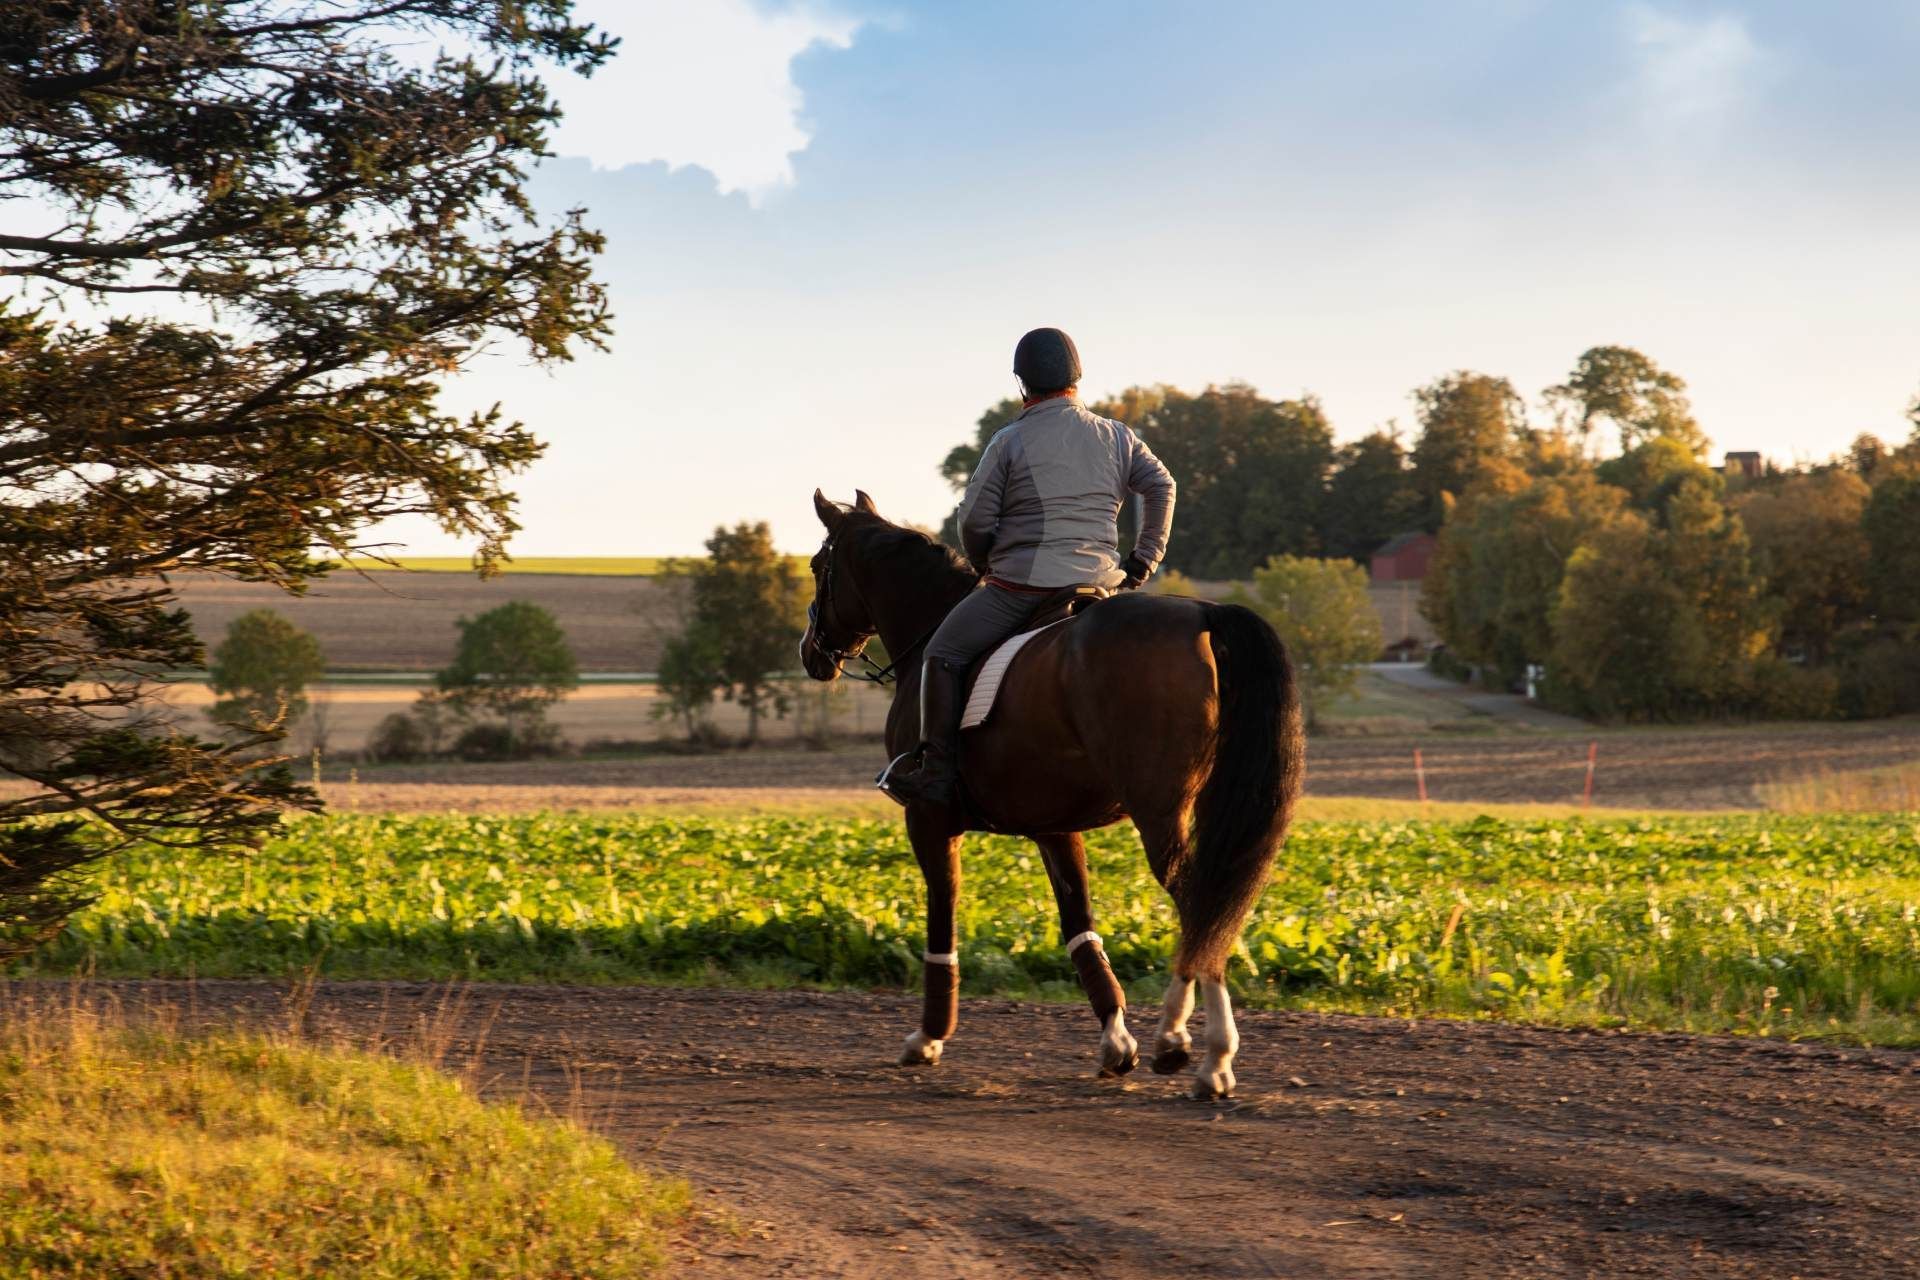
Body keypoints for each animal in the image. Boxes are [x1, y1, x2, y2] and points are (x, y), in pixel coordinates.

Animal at [799, 489, 1306, 1099]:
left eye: (817, 567)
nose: (810, 653)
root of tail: (1202, 613)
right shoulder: (1055, 827)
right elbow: (1078, 924)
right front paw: (1116, 1042)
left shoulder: (928, 820)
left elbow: (942, 916)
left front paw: (928, 1037)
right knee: (1213, 909)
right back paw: (1192, 1046)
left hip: (1161, 814)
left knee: (1201, 905)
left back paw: (1198, 1050)